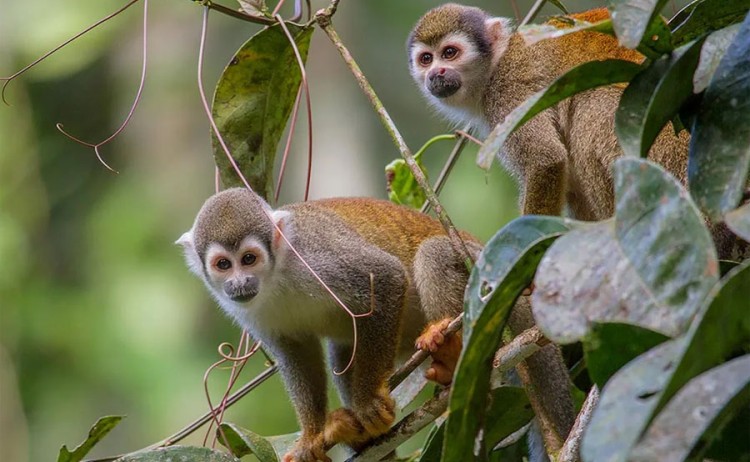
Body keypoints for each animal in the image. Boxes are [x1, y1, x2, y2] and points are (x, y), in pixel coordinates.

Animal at [177, 187, 483, 462]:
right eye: (223, 264)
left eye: (249, 259)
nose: (240, 283)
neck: (275, 276)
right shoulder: (248, 311)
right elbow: (296, 353)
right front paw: (312, 437)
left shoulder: (315, 257)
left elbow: (387, 276)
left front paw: (367, 402)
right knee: (344, 345)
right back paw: (361, 438)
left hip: (478, 268)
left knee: (435, 253)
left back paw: (451, 356)